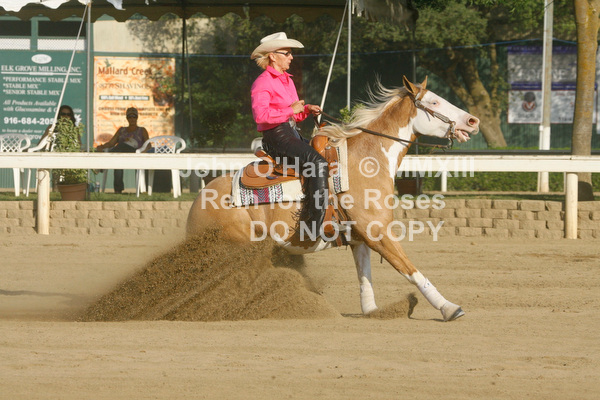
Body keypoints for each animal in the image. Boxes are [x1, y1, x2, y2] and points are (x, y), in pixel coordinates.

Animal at [186, 76, 480, 321]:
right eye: (434, 101)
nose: (472, 121)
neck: (365, 161)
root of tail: (197, 205)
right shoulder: (378, 233)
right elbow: (410, 270)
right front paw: (449, 307)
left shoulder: (360, 239)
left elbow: (365, 277)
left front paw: (372, 310)